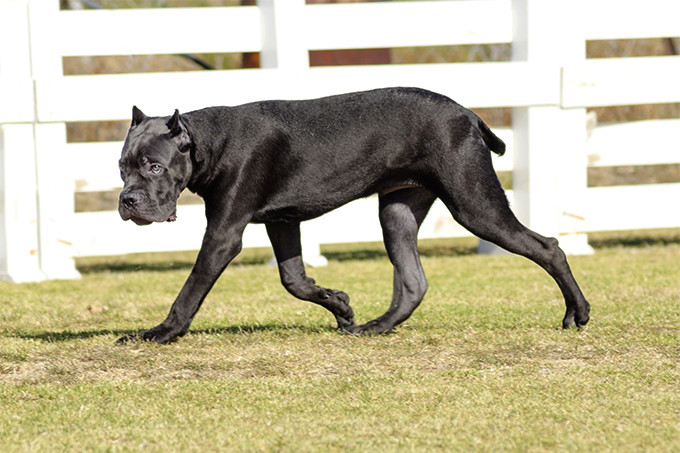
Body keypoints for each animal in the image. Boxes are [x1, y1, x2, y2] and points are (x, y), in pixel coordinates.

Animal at [115, 87, 588, 342]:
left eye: (154, 167)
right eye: (122, 167)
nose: (127, 201)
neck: (207, 144)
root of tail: (470, 115)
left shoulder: (224, 233)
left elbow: (190, 290)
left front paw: (160, 332)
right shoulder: (282, 221)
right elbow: (294, 280)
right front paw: (339, 305)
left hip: (473, 204)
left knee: (549, 247)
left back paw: (577, 314)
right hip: (398, 211)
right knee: (413, 283)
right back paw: (375, 327)